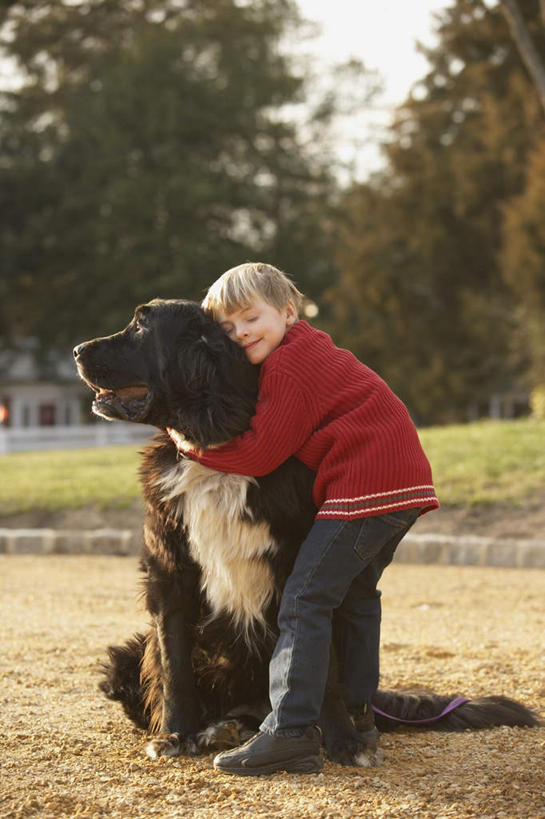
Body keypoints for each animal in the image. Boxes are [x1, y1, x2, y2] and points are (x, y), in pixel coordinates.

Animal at [74, 300, 536, 764]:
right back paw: (219, 728)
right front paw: (175, 733)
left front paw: (342, 740)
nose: (77, 349)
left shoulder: (306, 570)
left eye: (140, 325)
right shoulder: (170, 572)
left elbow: (317, 666)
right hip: (124, 659)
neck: (216, 437)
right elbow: (174, 664)